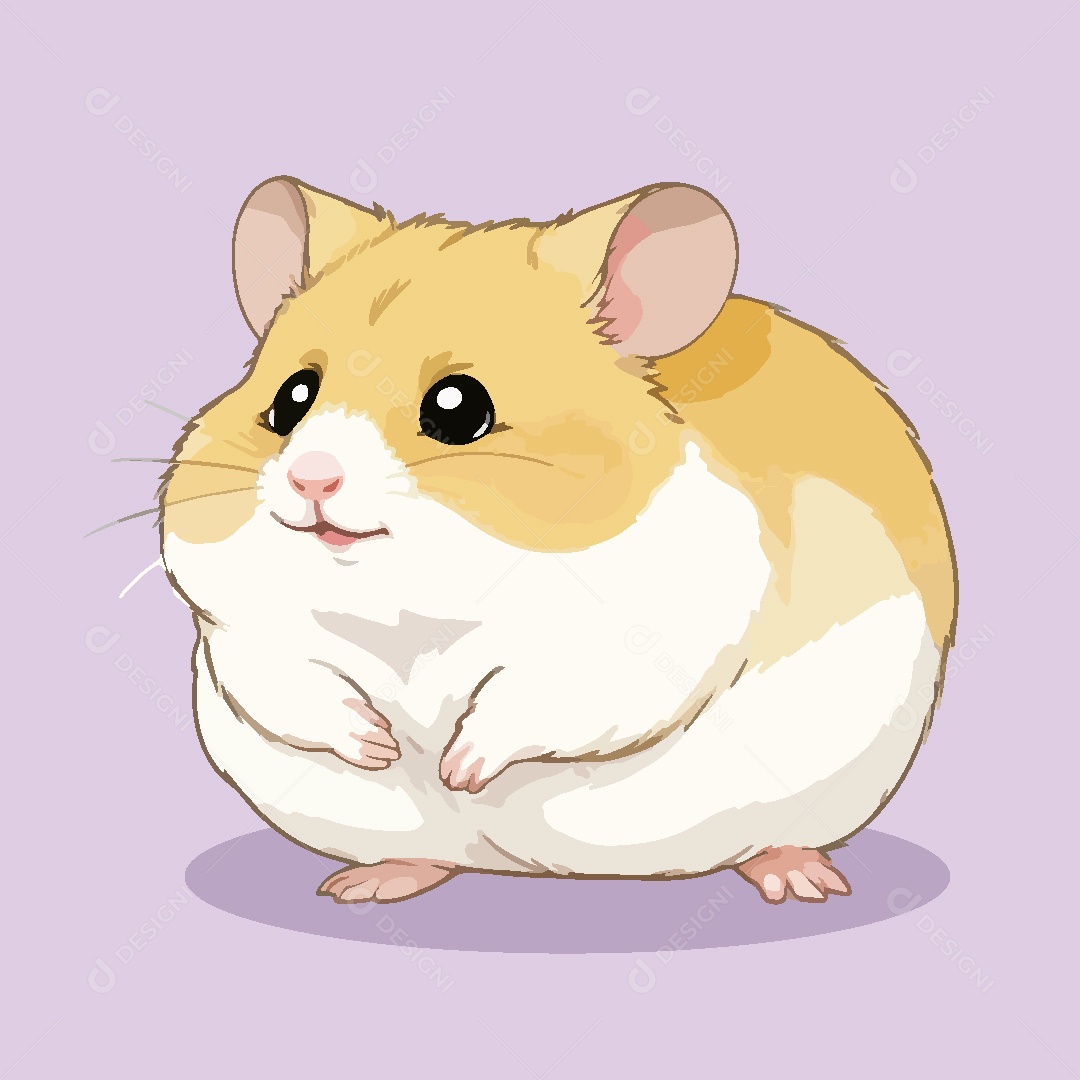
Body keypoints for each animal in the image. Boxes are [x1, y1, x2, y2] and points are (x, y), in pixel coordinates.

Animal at [161, 177, 957, 905]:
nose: (312, 479)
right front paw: (382, 745)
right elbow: (292, 683)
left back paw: (804, 882)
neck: (412, 600)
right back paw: (363, 885)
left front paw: (455, 766)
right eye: (290, 400)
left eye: (459, 408)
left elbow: (541, 694)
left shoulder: (647, 634)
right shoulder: (239, 628)